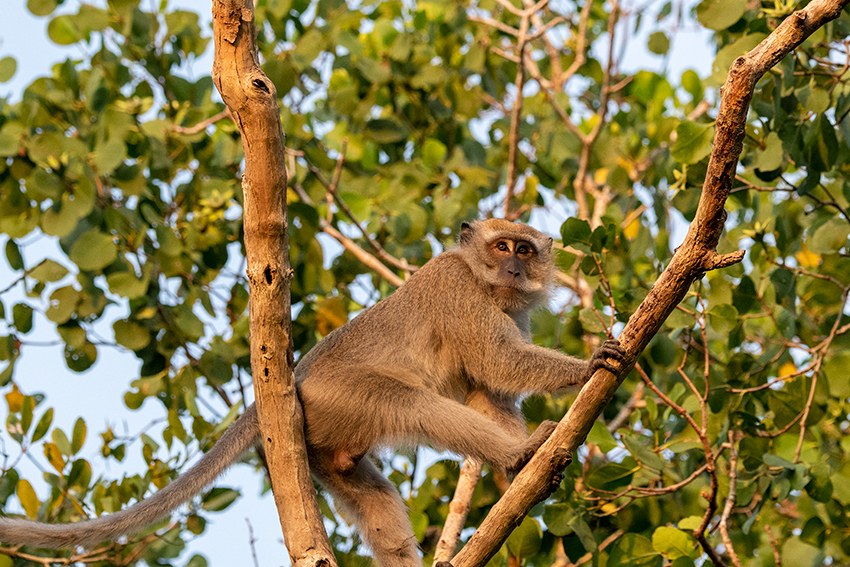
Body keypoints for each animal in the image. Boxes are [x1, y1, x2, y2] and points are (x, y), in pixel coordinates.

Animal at [0, 220, 624, 567]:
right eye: (502, 246)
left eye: (526, 250)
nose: (514, 268)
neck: (484, 282)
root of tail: (293, 383)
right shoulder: (459, 289)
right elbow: (498, 362)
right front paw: (583, 372)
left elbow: (491, 392)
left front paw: (524, 475)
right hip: (343, 398)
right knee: (414, 405)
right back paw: (518, 454)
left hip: (323, 447)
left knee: (369, 490)